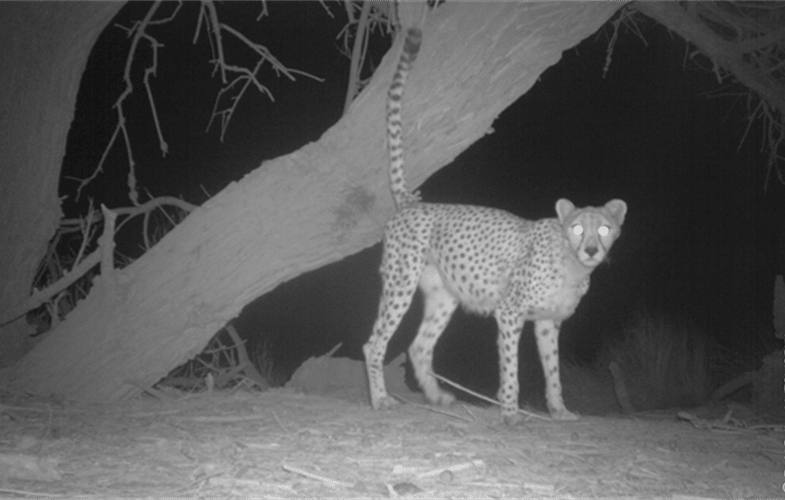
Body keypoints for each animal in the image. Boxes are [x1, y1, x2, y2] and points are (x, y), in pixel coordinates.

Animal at [364, 27, 628, 424]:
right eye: (578, 229)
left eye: (605, 229)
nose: (592, 249)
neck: (572, 265)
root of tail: (412, 202)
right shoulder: (510, 311)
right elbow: (510, 366)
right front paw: (510, 411)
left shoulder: (548, 322)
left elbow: (553, 370)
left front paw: (560, 410)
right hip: (400, 282)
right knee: (375, 342)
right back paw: (380, 399)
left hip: (443, 296)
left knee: (419, 346)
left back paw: (437, 397)